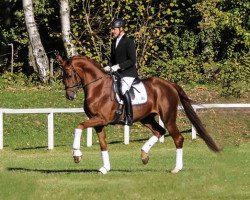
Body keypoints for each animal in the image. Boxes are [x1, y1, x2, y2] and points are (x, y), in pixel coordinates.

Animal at [57, 54, 221, 173]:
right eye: (62, 75)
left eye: (68, 74)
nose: (70, 96)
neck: (98, 87)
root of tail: (169, 84)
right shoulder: (98, 122)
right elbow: (103, 145)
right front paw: (105, 168)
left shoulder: (101, 119)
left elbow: (78, 126)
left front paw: (76, 155)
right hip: (146, 118)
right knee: (159, 131)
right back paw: (144, 155)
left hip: (168, 117)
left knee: (178, 138)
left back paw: (176, 168)